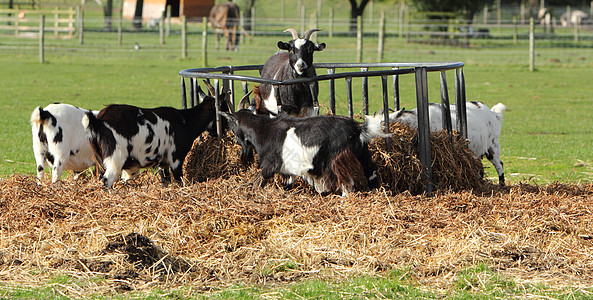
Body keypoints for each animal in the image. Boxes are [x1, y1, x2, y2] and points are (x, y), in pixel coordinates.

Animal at [82, 85, 242, 188]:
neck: (185, 122)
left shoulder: (163, 163)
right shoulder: (176, 159)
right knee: (107, 181)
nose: (227, 130)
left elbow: (166, 181)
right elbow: (179, 181)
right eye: (224, 109)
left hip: (101, 160)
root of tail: (98, 120)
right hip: (115, 157)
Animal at [220, 109, 386, 196]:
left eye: (232, 128)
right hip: (362, 154)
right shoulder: (286, 171)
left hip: (339, 158)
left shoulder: (269, 166)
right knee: (371, 173)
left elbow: (259, 181)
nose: (237, 142)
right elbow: (287, 185)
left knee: (347, 182)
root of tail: (358, 129)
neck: (262, 130)